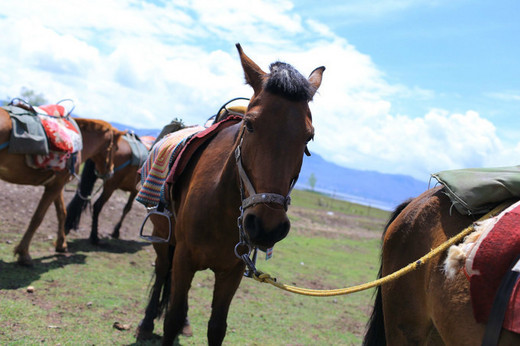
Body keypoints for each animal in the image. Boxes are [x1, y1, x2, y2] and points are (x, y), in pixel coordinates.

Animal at [0, 107, 122, 266]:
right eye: (117, 148)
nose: (111, 172)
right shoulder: (55, 187)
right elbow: (37, 218)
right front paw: (24, 254)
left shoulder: (56, 185)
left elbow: (61, 213)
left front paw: (61, 245)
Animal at [134, 43, 324, 344]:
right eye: (250, 124)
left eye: (309, 136)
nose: (268, 226)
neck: (221, 207)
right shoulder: (184, 259)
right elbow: (171, 318)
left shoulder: (231, 272)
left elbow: (216, 327)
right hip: (162, 235)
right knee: (163, 269)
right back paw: (146, 322)